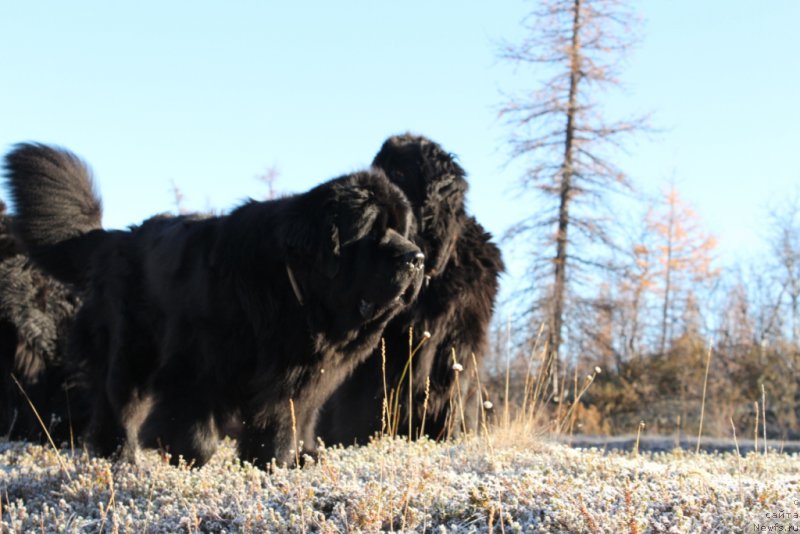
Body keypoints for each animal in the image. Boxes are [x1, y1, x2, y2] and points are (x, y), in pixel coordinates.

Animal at [3, 143, 428, 468]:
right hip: (128, 352)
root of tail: (113, 239)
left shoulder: (302, 376)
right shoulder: (195, 364)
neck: (295, 294)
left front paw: (279, 462)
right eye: (371, 229)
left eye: (402, 229)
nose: (417, 257)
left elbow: (286, 421)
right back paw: (119, 457)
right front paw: (190, 458)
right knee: (118, 404)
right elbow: (191, 421)